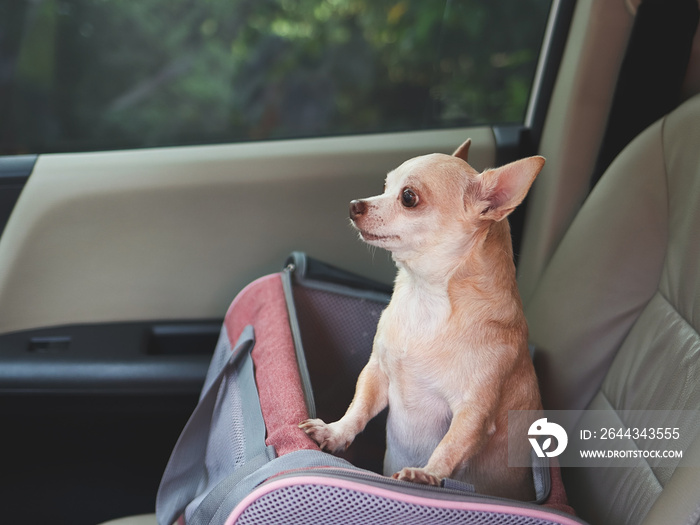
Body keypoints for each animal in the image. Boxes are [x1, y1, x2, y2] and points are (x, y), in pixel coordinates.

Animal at [298, 140, 544, 500]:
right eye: (385, 185)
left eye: (408, 197)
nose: (354, 205)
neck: (424, 300)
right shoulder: (376, 372)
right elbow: (358, 408)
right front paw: (334, 432)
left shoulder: (473, 413)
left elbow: (452, 445)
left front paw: (427, 475)